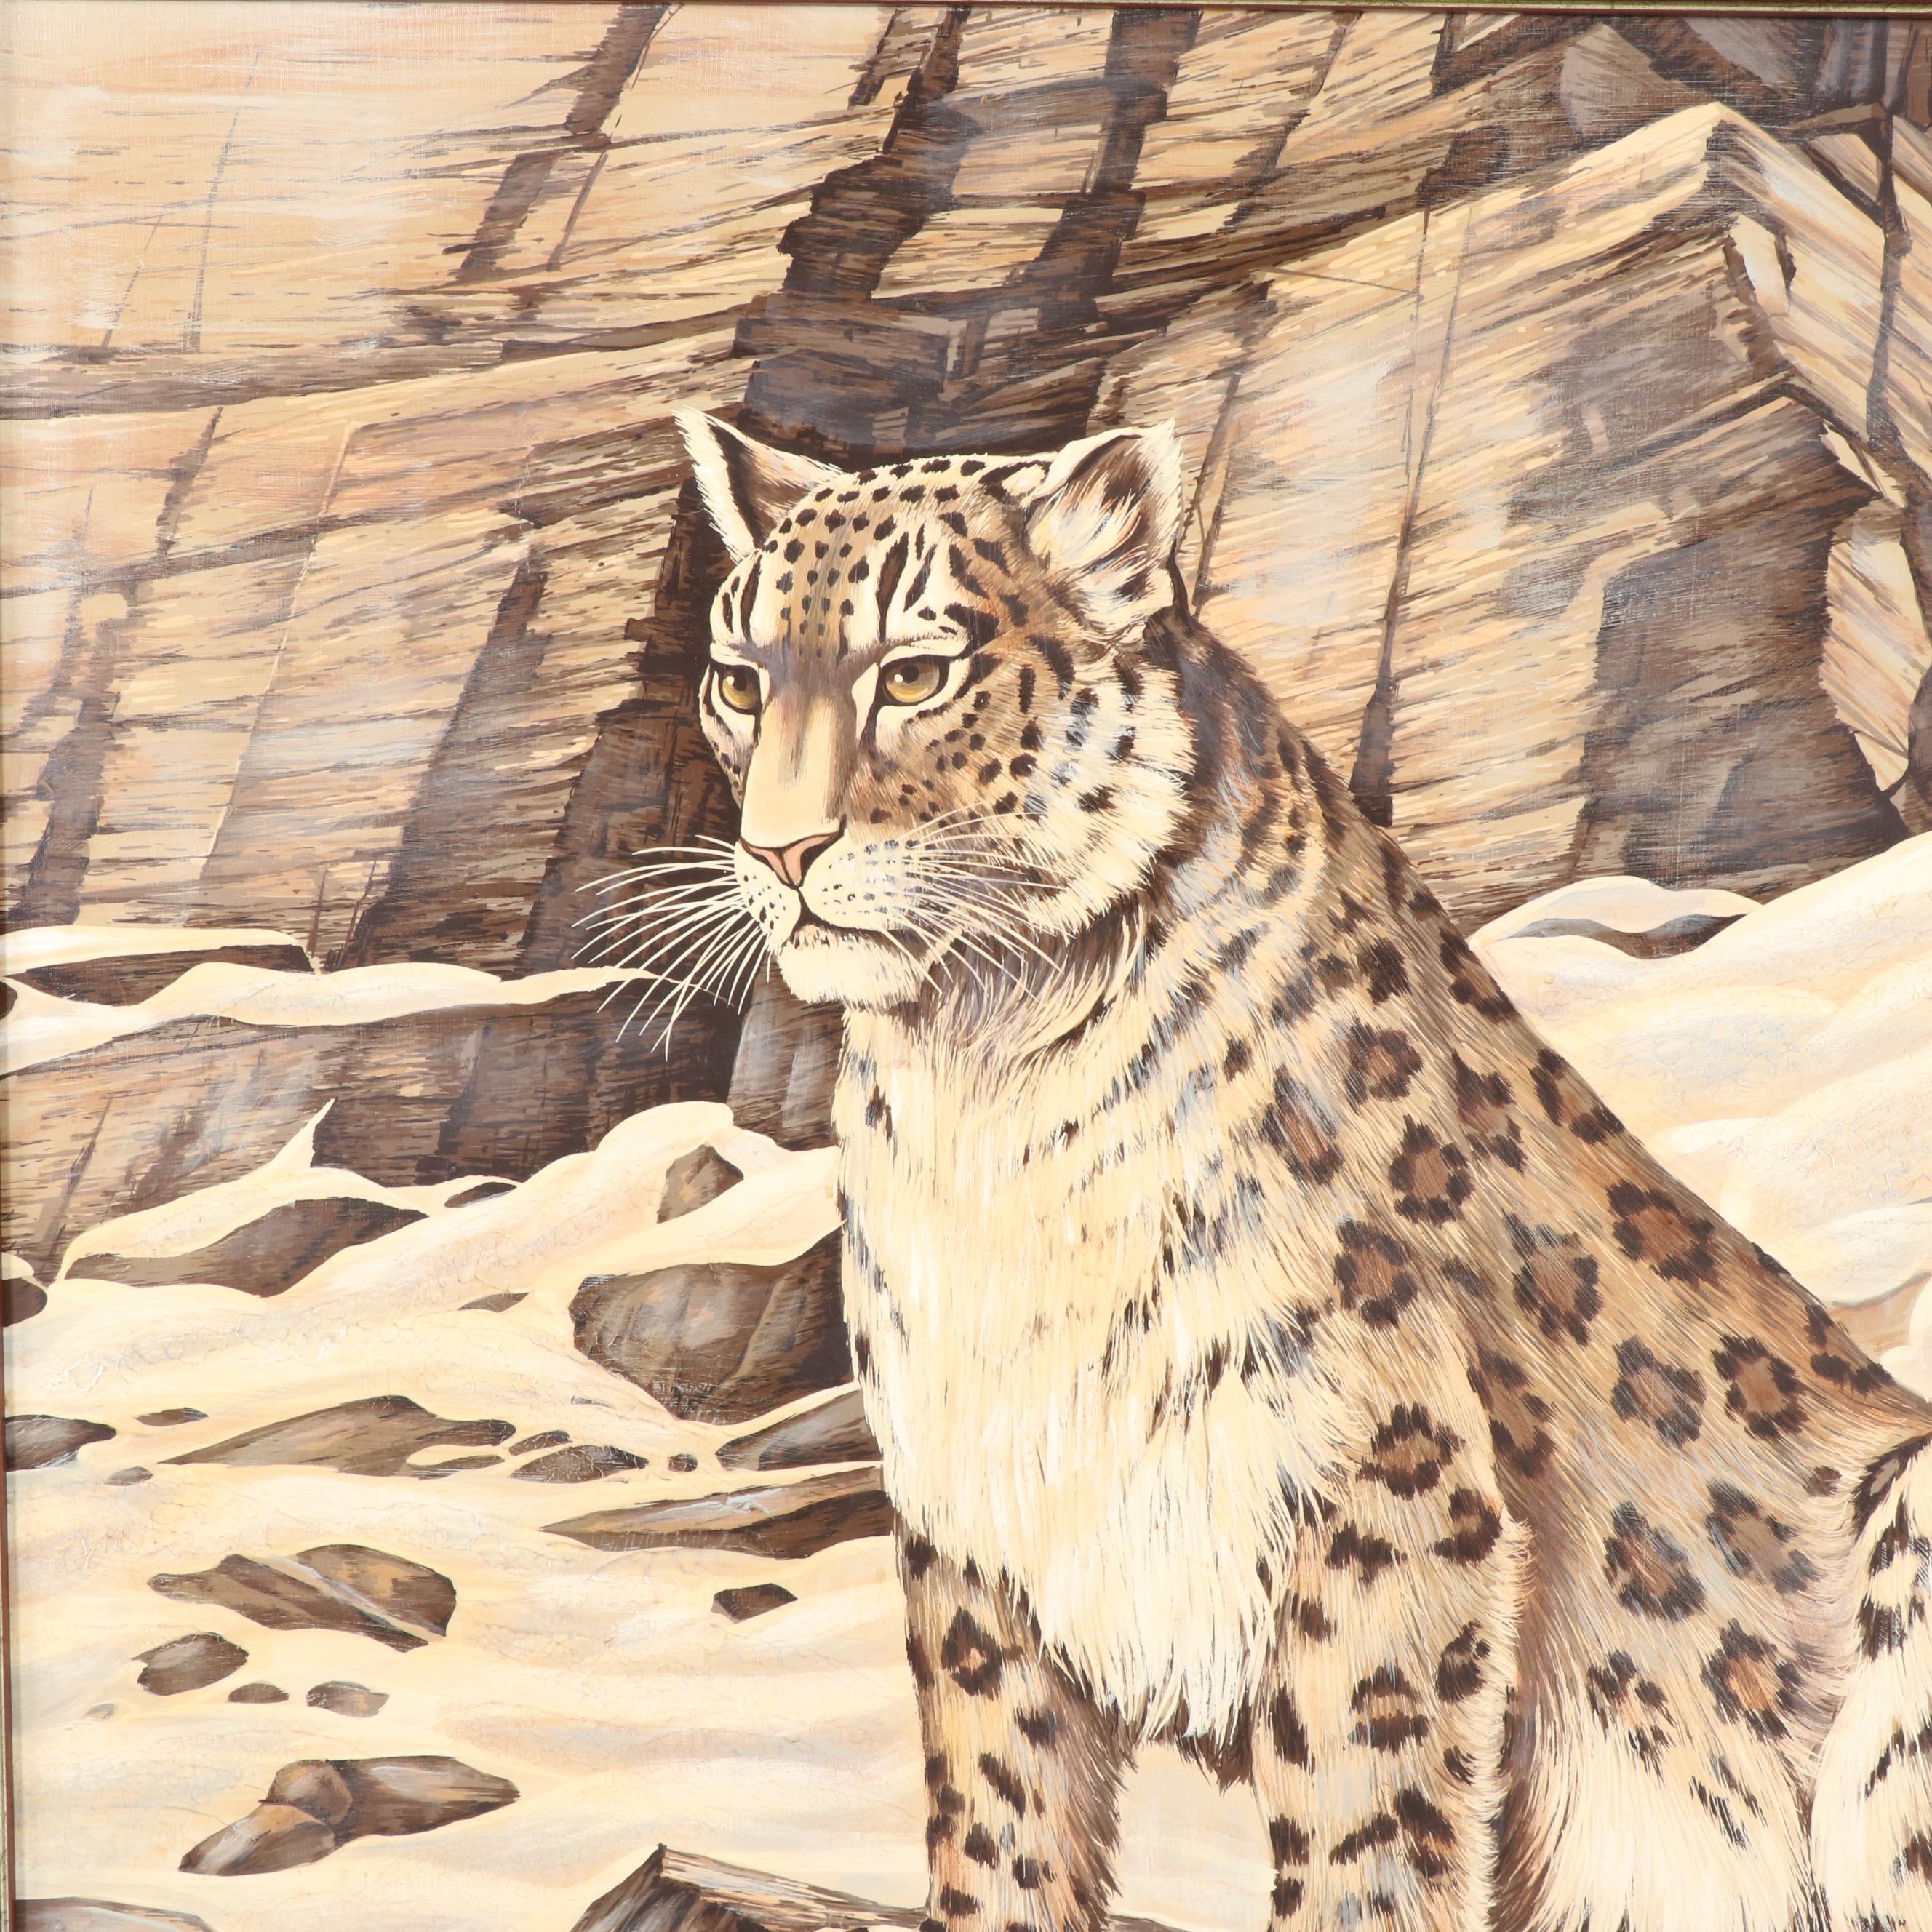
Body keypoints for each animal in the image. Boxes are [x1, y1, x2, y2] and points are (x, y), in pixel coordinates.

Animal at [671, 408, 1932, 1932]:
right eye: (739, 681)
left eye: (914, 671)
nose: (778, 848)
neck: (985, 1079)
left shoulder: (1377, 1480)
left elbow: (1362, 1827)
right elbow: (997, 1815)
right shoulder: (976, 1521)